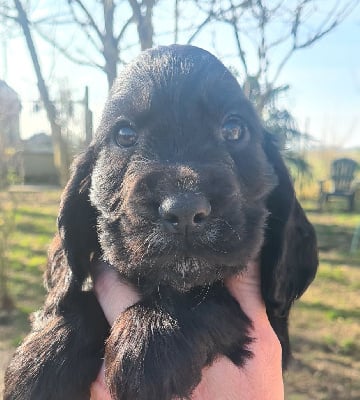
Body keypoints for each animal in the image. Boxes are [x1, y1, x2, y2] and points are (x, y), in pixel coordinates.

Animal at [3, 44, 318, 400]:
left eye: (234, 130)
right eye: (124, 134)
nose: (184, 211)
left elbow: (204, 292)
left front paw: (148, 340)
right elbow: (80, 297)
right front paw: (39, 360)